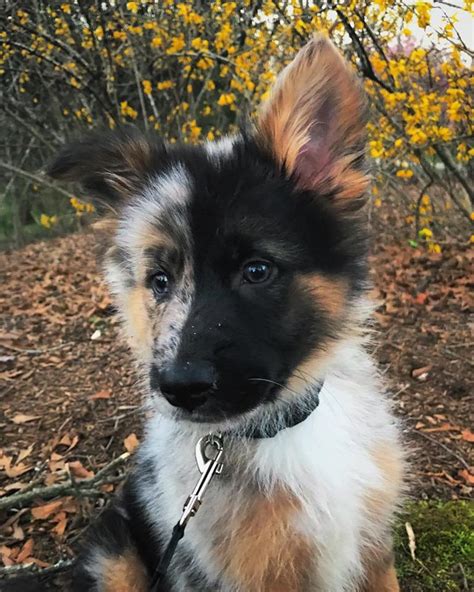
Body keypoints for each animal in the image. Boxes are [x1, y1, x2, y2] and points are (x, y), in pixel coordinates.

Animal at [48, 35, 404, 592]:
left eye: (256, 271)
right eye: (160, 281)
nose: (178, 389)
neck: (281, 429)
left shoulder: (374, 555)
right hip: (116, 558)